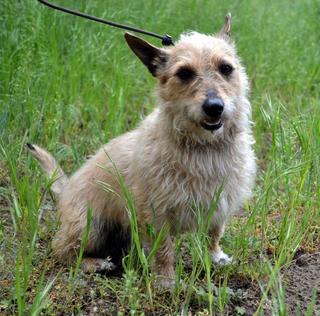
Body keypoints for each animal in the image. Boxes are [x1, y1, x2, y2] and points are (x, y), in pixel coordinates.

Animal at [28, 14, 258, 286]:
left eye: (226, 68)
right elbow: (164, 249)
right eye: (184, 73)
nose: (214, 107)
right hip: (90, 226)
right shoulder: (155, 212)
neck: (204, 148)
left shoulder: (221, 202)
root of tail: (65, 191)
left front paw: (216, 257)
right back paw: (93, 263)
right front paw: (167, 280)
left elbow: (214, 234)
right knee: (62, 250)